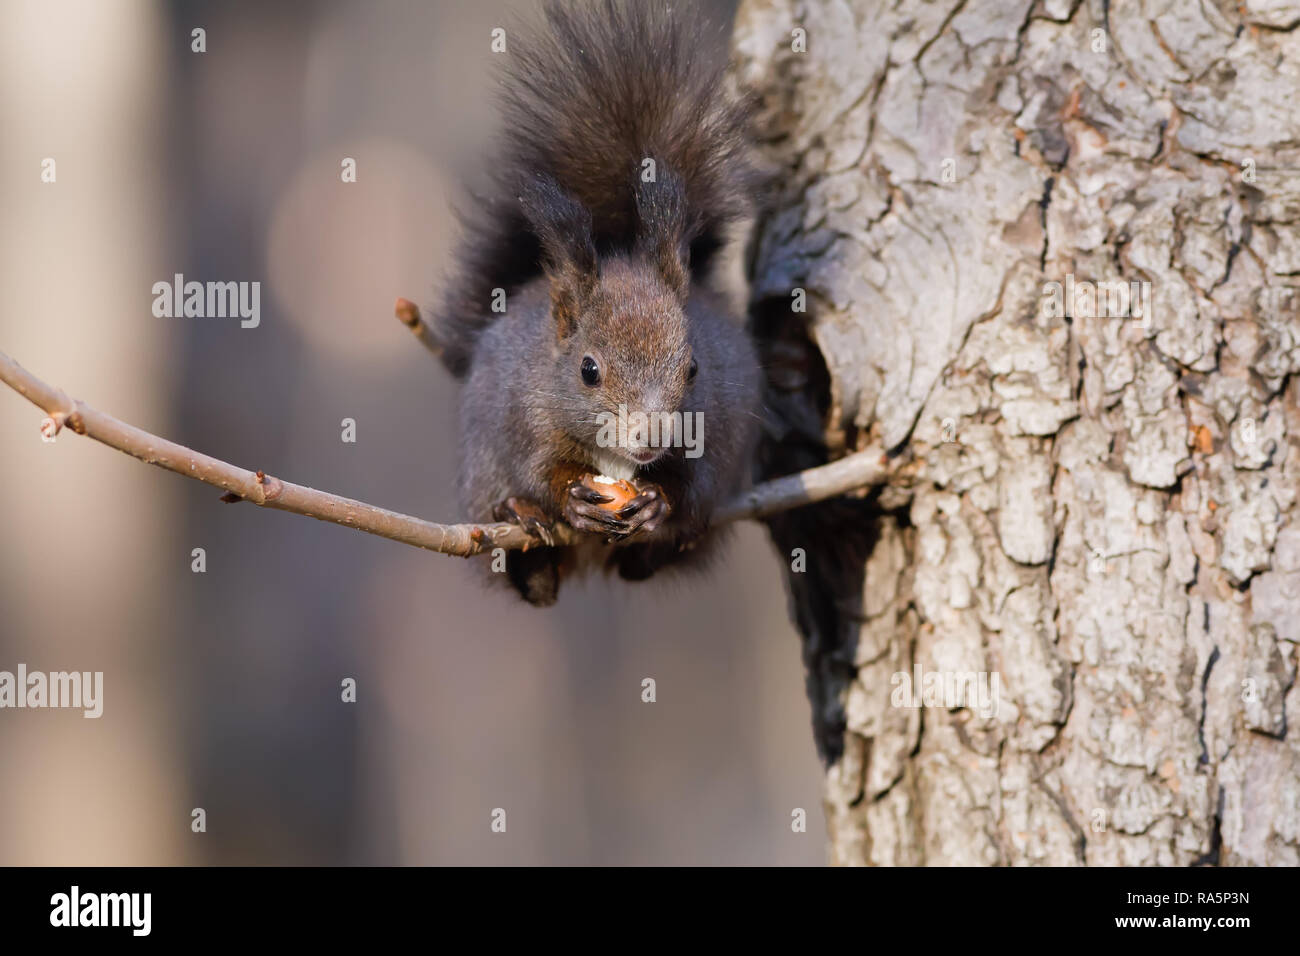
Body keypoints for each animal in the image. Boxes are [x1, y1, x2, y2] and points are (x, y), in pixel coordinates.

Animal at [432, 0, 765, 606]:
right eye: (588, 370)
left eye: (693, 368)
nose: (652, 437)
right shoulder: (523, 415)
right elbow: (539, 466)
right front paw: (565, 497)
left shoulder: (718, 425)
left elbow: (697, 481)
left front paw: (660, 502)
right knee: (533, 579)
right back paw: (521, 527)